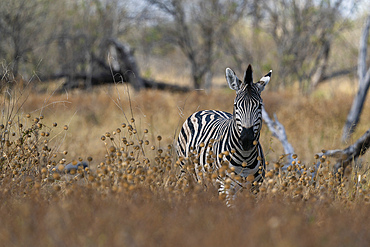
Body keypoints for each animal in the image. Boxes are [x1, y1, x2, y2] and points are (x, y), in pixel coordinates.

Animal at [176, 64, 272, 202]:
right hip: (186, 172)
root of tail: (206, 110)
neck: (245, 158)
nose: (246, 140)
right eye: (236, 105)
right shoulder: (226, 186)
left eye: (260, 106)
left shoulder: (254, 188)